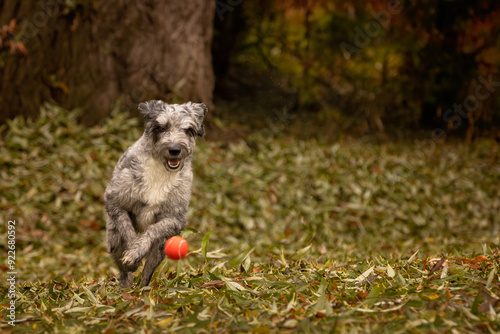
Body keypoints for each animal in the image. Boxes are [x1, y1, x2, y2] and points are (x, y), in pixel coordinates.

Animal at [105, 99, 207, 288]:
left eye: (188, 129)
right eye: (160, 127)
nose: (174, 149)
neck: (161, 169)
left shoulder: (175, 219)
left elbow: (153, 229)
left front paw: (138, 250)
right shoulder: (115, 203)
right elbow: (128, 230)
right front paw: (133, 252)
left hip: (161, 248)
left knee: (147, 272)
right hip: (114, 239)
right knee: (123, 269)